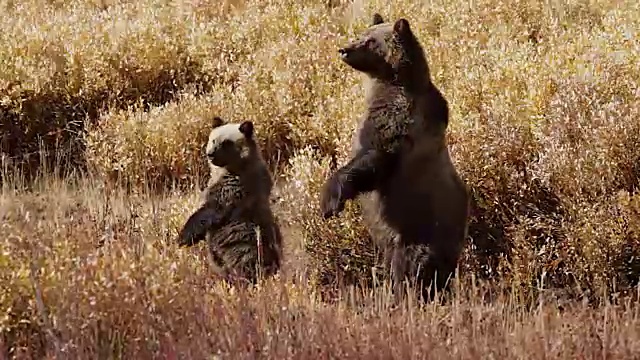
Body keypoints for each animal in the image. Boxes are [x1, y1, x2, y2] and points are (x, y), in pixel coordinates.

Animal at [176, 116, 284, 286]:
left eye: (226, 142)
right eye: (213, 140)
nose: (210, 154)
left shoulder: (233, 189)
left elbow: (211, 211)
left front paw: (183, 237)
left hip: (243, 248)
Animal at [320, 12, 470, 302]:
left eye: (370, 40)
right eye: (361, 33)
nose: (344, 49)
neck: (393, 81)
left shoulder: (398, 119)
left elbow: (374, 157)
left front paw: (330, 201)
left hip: (421, 226)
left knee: (412, 265)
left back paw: (403, 294)